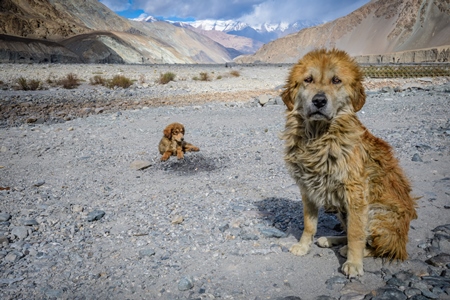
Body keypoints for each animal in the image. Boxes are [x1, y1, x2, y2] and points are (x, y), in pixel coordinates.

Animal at [282, 48, 418, 276]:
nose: (319, 101)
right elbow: (309, 224)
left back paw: (352, 251)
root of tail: (403, 241)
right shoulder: (308, 187)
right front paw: (303, 245)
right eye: (308, 80)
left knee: (380, 247)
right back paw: (331, 240)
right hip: (341, 209)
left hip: (377, 213)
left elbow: (356, 233)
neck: (319, 137)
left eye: (336, 80)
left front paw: (354, 263)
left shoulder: (355, 192)